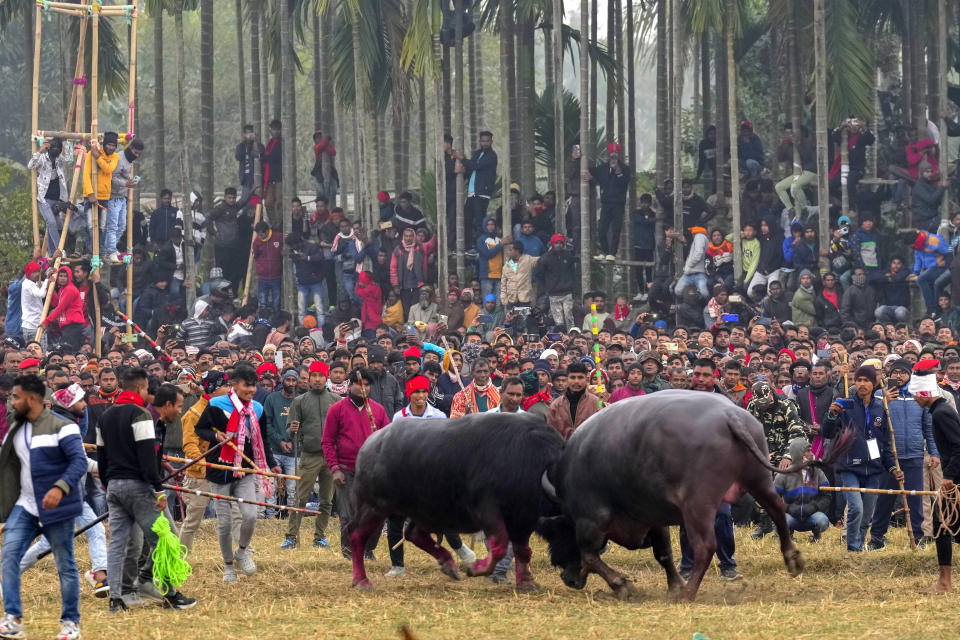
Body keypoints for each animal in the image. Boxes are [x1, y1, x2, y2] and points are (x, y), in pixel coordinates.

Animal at [346, 416, 564, 592]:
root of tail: (370, 444)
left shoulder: (522, 519)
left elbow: (523, 550)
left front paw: (527, 582)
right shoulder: (488, 511)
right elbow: (499, 546)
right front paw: (475, 568)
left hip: (426, 509)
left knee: (413, 534)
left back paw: (449, 564)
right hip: (373, 506)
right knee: (356, 535)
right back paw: (361, 581)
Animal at [540, 390, 832, 600]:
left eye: (557, 534)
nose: (568, 579)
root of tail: (729, 416)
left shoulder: (589, 520)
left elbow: (590, 556)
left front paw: (624, 585)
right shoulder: (652, 517)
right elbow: (664, 553)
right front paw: (674, 585)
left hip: (697, 504)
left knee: (706, 546)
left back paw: (690, 593)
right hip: (757, 478)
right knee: (777, 509)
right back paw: (793, 559)